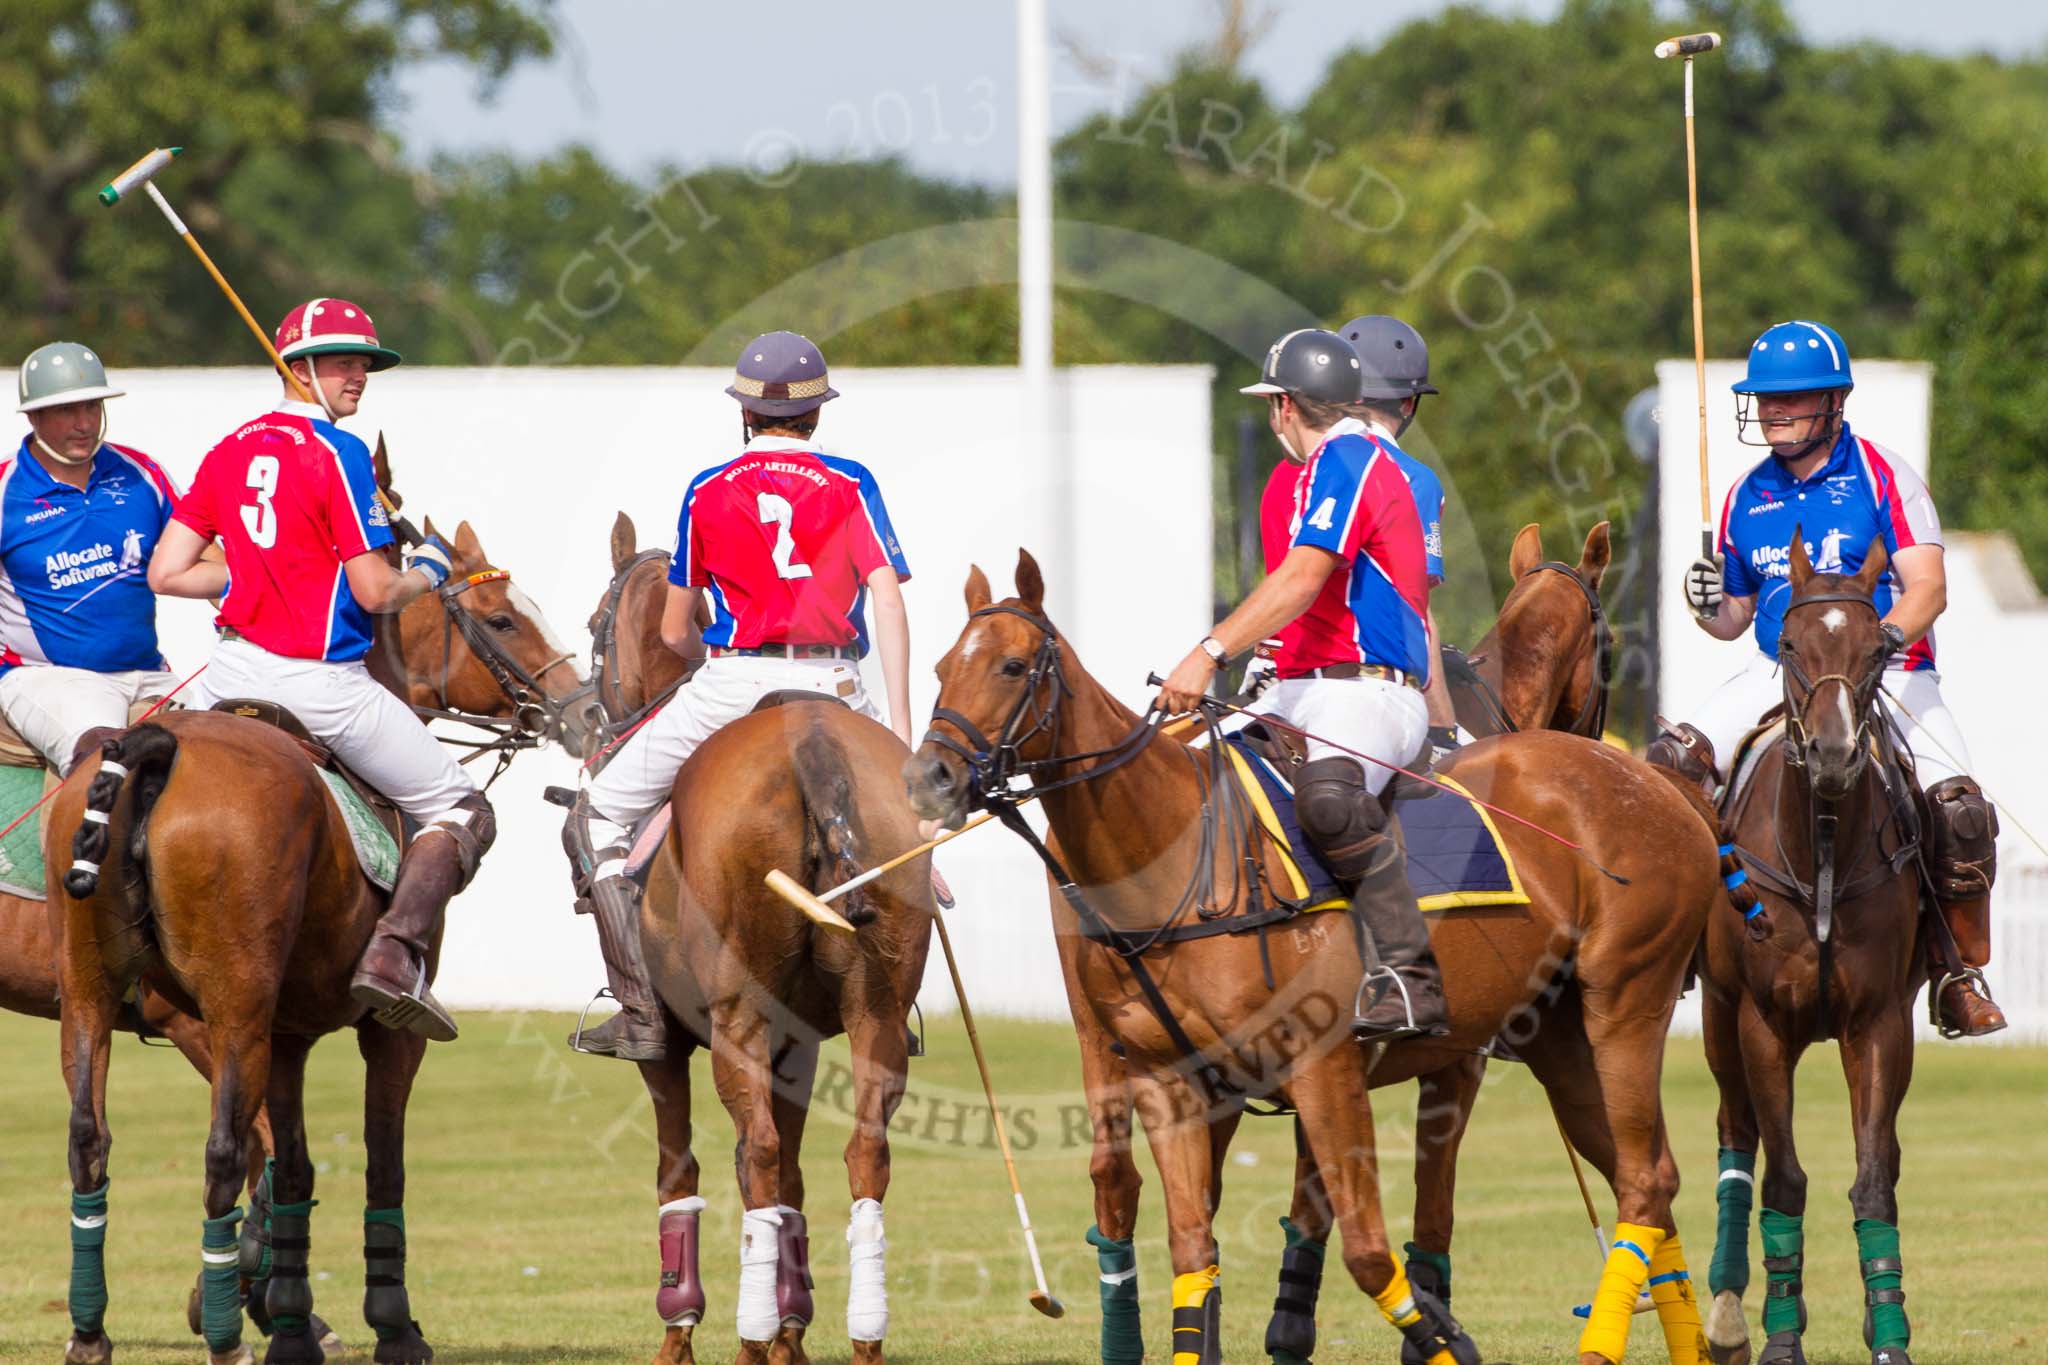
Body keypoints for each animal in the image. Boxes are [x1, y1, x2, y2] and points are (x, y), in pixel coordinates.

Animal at [44, 515, 589, 1365]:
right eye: (503, 619)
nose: (582, 706)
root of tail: (155, 745)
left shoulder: (290, 1032)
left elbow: (296, 1168)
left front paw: (294, 1325)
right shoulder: (388, 1031)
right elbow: (382, 1164)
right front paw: (396, 1326)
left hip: (92, 987)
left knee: (88, 1138)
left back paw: (93, 1330)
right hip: (230, 1002)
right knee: (222, 1150)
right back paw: (226, 1335)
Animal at [585, 515, 937, 1365]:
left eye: (593, 625)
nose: (590, 715)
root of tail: (809, 738)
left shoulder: (669, 1046)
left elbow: (678, 1170)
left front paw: (682, 1331)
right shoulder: (800, 1037)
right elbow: (799, 1184)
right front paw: (793, 1330)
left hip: (737, 1012)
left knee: (758, 1153)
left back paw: (746, 1340)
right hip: (878, 1004)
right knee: (862, 1154)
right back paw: (862, 1336)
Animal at [905, 552, 1720, 1365]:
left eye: (1013, 665)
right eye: (942, 666)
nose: (928, 779)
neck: (1173, 846)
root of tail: (1652, 782)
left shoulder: (1334, 1068)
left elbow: (1365, 1247)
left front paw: (1434, 1334)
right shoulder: (1173, 1081)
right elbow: (1199, 1248)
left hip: (1625, 1000)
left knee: (1645, 1179)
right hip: (1563, 1035)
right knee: (1649, 1178)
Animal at [1687, 540, 1925, 1365]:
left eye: (1878, 647)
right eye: (1789, 644)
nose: (1832, 753)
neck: (1821, 838)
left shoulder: (1879, 1022)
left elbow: (1875, 1178)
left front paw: (1889, 1334)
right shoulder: (1763, 1021)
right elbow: (1783, 1179)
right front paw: (1781, 1337)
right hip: (1721, 1020)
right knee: (1736, 1136)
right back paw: (1728, 1311)